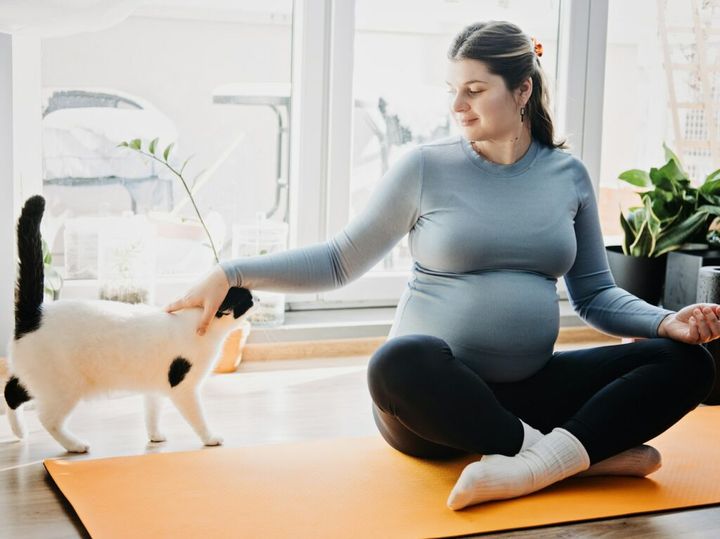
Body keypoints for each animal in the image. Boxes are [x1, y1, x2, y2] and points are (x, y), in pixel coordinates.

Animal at [2, 196, 255, 454]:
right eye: (247, 300)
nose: (257, 297)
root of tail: (36, 313)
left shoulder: (156, 386)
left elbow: (152, 413)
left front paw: (155, 437)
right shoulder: (184, 388)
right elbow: (198, 417)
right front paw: (210, 438)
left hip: (37, 378)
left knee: (11, 390)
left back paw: (19, 431)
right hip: (63, 386)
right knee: (47, 419)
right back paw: (75, 445)